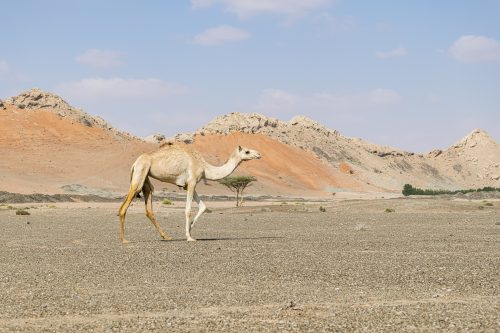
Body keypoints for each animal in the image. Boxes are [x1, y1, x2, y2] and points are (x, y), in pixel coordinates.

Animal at [116, 143, 258, 241]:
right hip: (141, 171)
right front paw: (189, 237)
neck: (205, 167)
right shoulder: (192, 182)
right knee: (125, 204)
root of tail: (135, 163)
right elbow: (188, 210)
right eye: (247, 151)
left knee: (148, 203)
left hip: (145, 177)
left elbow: (203, 206)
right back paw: (124, 240)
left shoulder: (187, 185)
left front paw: (190, 229)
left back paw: (166, 236)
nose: (258, 154)